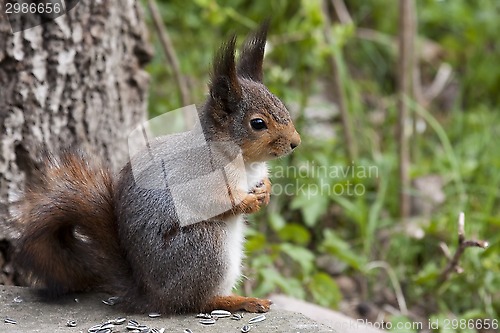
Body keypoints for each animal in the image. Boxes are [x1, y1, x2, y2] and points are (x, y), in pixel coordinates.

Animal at [13, 22, 298, 312]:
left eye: (282, 105)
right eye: (258, 123)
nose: (295, 143)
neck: (246, 161)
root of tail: (150, 294)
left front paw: (265, 192)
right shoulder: (199, 175)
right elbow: (215, 200)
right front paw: (247, 202)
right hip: (207, 247)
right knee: (196, 301)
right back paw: (238, 300)